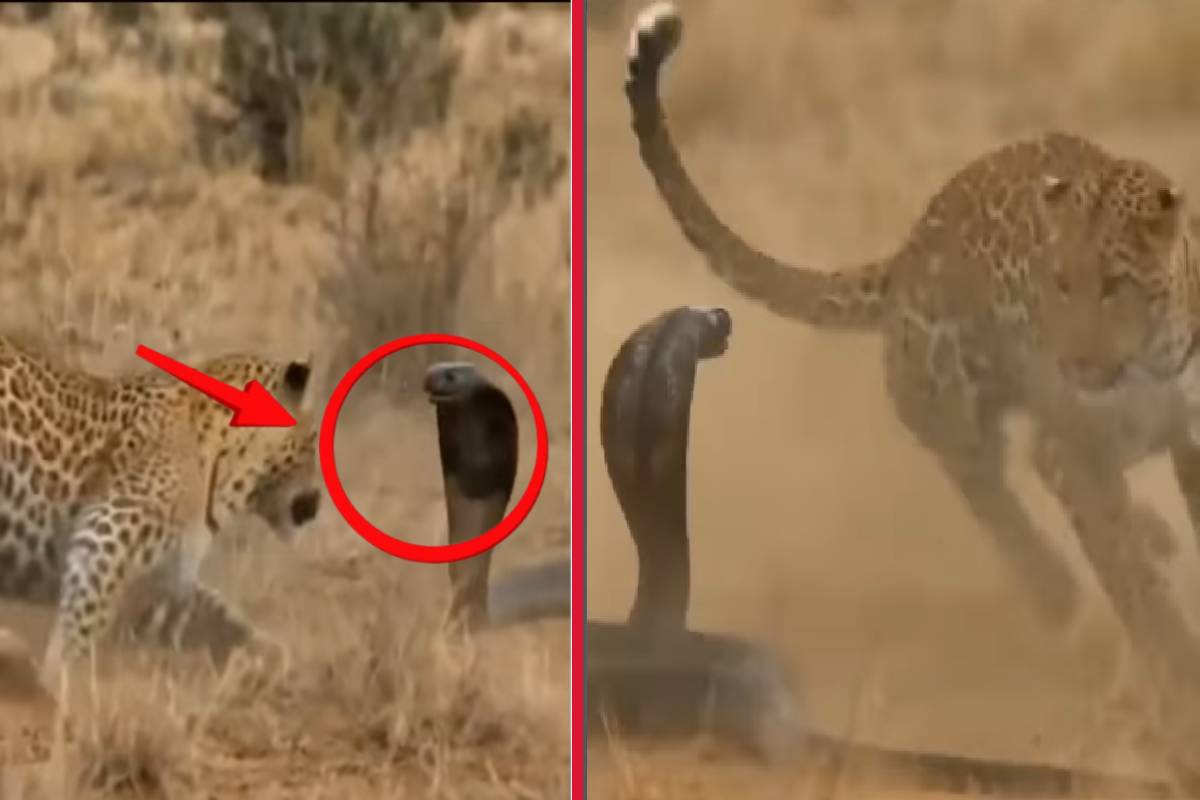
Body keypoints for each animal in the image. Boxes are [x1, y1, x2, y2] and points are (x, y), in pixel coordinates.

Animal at [0, 336, 322, 697]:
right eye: (314, 441)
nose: (317, 501)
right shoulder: (107, 532)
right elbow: (84, 618)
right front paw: (63, 683)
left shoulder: (166, 577)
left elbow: (217, 613)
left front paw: (272, 659)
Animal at [623, 0, 1200, 749]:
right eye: (1060, 282)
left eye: (1114, 285)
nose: (1074, 360)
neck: (1154, 357)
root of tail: (909, 250)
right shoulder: (1075, 446)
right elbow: (1130, 576)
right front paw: (1178, 666)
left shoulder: (1187, 435)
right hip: (948, 400)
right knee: (989, 488)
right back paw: (1056, 588)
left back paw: (1141, 538)